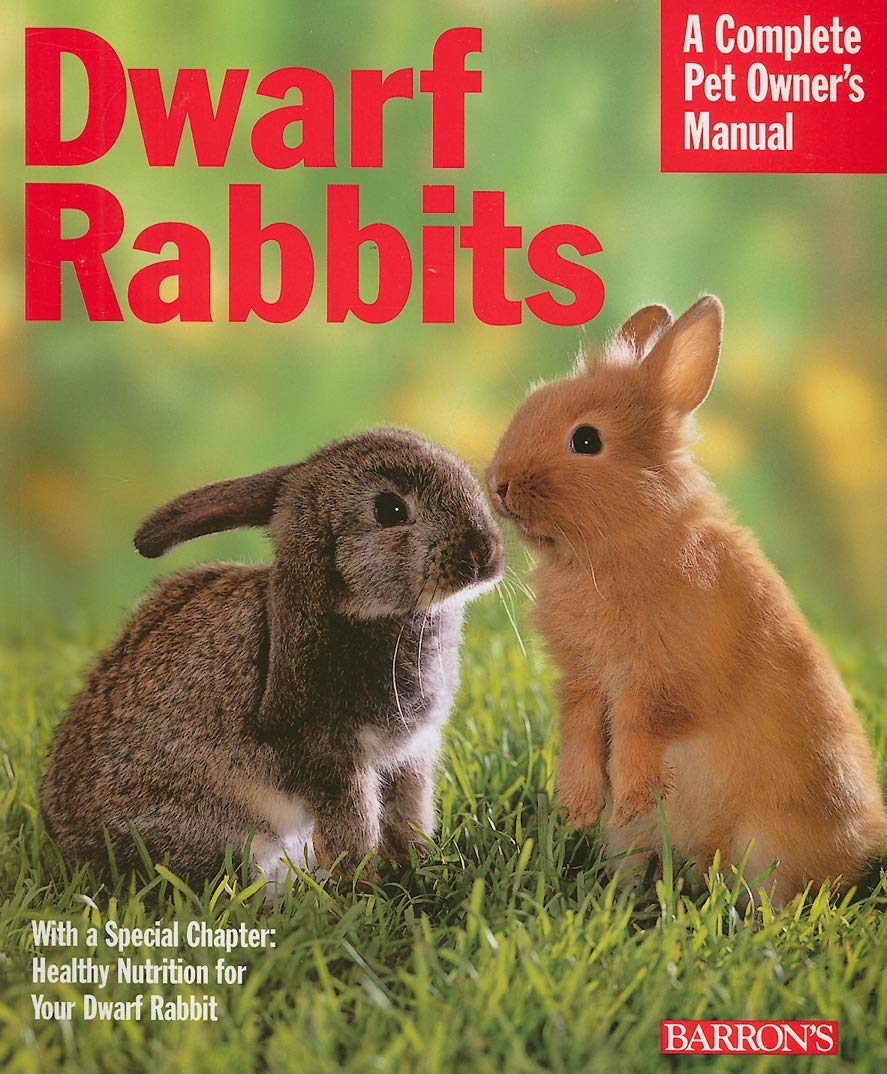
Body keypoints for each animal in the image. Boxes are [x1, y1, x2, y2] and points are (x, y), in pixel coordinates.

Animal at [42, 428, 504, 895]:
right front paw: (367, 889)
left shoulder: (411, 756)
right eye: (390, 509)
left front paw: (421, 865)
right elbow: (354, 832)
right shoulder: (336, 763)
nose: (484, 552)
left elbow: (410, 816)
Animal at [487, 297, 886, 904]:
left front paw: (628, 792)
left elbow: (639, 727)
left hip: (766, 845)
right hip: (635, 843)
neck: (630, 538)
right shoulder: (583, 680)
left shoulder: (665, 678)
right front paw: (578, 806)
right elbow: (581, 733)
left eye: (586, 440)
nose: (499, 483)